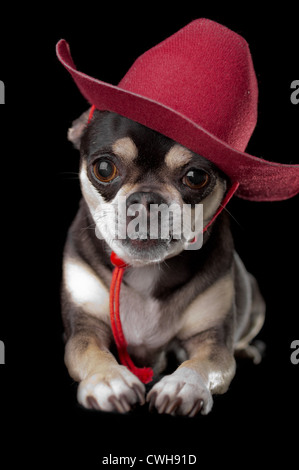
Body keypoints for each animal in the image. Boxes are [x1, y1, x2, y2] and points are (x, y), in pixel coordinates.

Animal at [60, 109, 264, 414]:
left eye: (195, 176)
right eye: (104, 169)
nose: (146, 198)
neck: (145, 268)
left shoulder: (212, 340)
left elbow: (201, 363)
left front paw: (183, 385)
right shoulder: (85, 326)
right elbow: (89, 351)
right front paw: (109, 379)